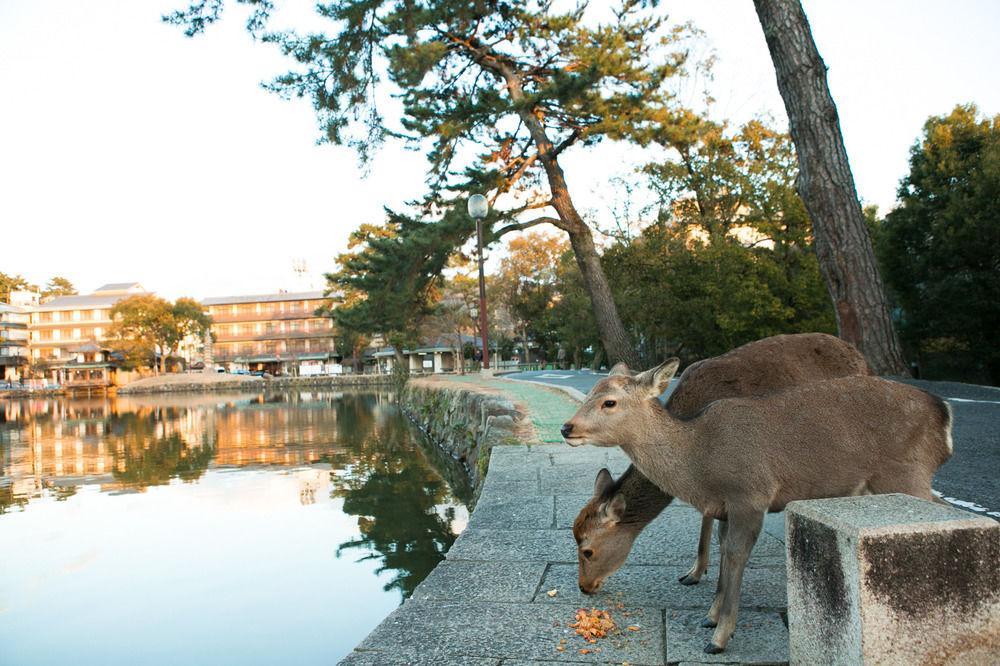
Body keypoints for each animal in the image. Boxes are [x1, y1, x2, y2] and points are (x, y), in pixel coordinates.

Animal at [564, 360, 952, 652]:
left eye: (609, 402)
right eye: (590, 392)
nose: (567, 427)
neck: (701, 463)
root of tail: (943, 414)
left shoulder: (751, 493)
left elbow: (737, 554)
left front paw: (719, 637)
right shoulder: (724, 506)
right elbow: (724, 548)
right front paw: (710, 616)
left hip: (906, 473)